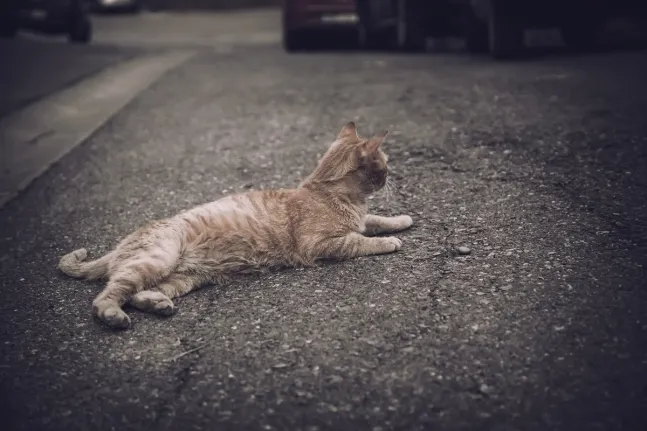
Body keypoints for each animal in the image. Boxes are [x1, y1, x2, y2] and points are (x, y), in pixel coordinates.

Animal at [59, 121, 416, 330]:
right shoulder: (322, 244)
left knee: (139, 293)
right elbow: (360, 240)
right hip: (155, 259)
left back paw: (158, 305)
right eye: (385, 165)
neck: (329, 191)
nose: (392, 176)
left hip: (183, 278)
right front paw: (388, 242)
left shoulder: (359, 220)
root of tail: (121, 243)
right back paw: (114, 315)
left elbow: (375, 220)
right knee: (108, 295)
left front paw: (402, 219)